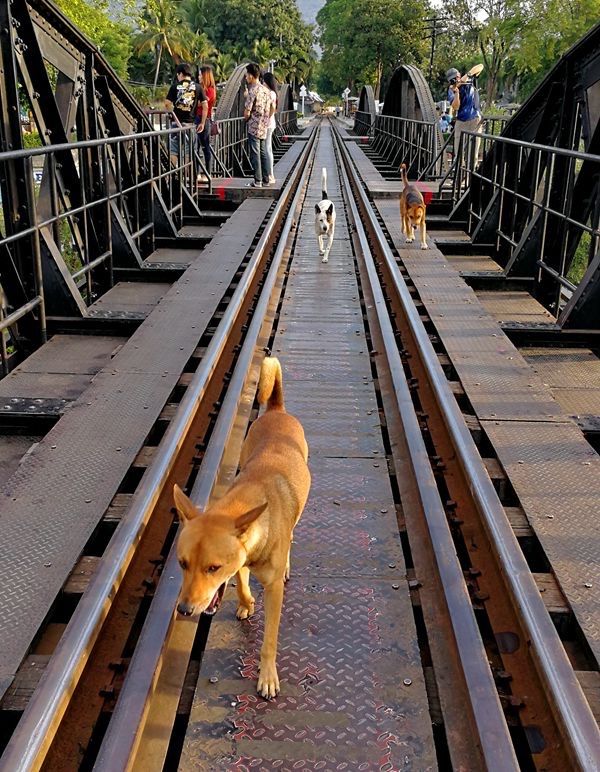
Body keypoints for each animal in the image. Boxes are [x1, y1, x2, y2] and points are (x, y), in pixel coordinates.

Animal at [172, 356, 310, 700]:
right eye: (182, 564)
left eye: (213, 567)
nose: (184, 610)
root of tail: (275, 409)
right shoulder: (242, 558)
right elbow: (242, 583)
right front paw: (246, 603)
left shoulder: (273, 591)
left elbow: (269, 640)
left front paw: (268, 677)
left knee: (292, 535)